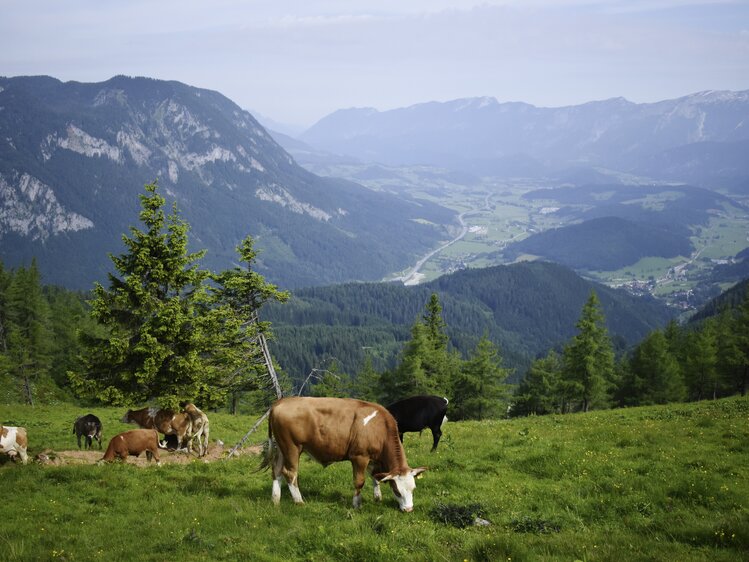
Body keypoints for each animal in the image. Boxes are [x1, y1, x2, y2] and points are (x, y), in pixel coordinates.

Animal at [262, 396, 426, 510]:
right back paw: (299, 501)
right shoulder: (360, 456)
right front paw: (356, 504)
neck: (379, 428)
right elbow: (360, 481)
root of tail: (282, 402)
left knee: (277, 471)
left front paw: (377, 497)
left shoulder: (373, 458)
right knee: (290, 473)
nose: (408, 509)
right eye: (397, 491)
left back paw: (275, 500)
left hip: (281, 448)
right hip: (292, 447)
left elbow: (376, 477)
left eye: (413, 488)